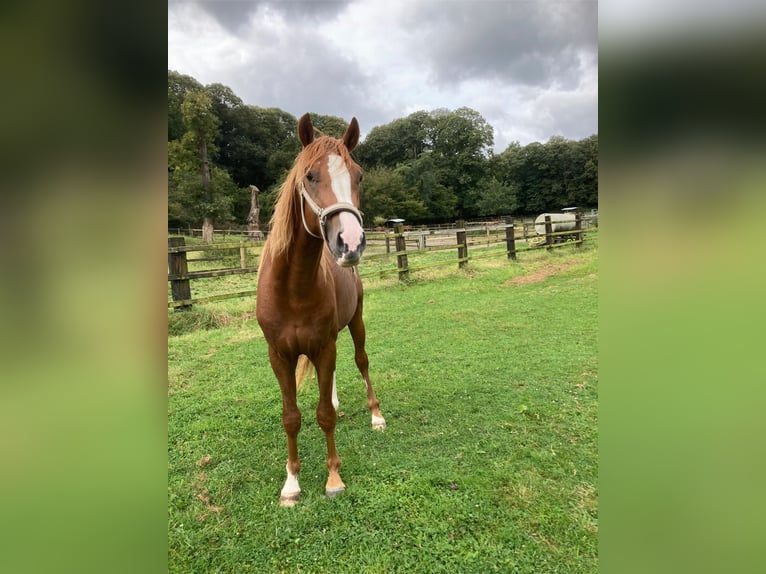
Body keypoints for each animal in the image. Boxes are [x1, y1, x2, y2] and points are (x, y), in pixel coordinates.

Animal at [260, 113, 390, 508]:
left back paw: (376, 416)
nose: (351, 243)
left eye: (358, 175)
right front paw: (291, 484)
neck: (292, 287)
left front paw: (333, 478)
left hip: (355, 323)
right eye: (310, 176)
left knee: (362, 362)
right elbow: (291, 417)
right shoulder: (280, 356)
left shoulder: (325, 346)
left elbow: (325, 415)